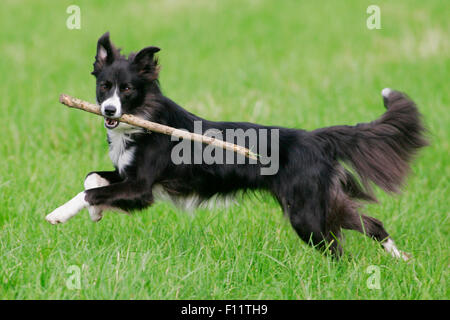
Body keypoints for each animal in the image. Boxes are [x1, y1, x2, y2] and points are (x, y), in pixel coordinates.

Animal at [46, 31, 428, 258]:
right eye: (104, 86)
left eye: (127, 89)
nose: (109, 111)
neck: (141, 121)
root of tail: (314, 137)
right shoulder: (129, 177)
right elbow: (92, 179)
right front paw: (94, 214)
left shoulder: (141, 188)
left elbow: (90, 191)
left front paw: (59, 214)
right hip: (321, 201)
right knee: (371, 224)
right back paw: (402, 260)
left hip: (305, 212)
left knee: (338, 248)